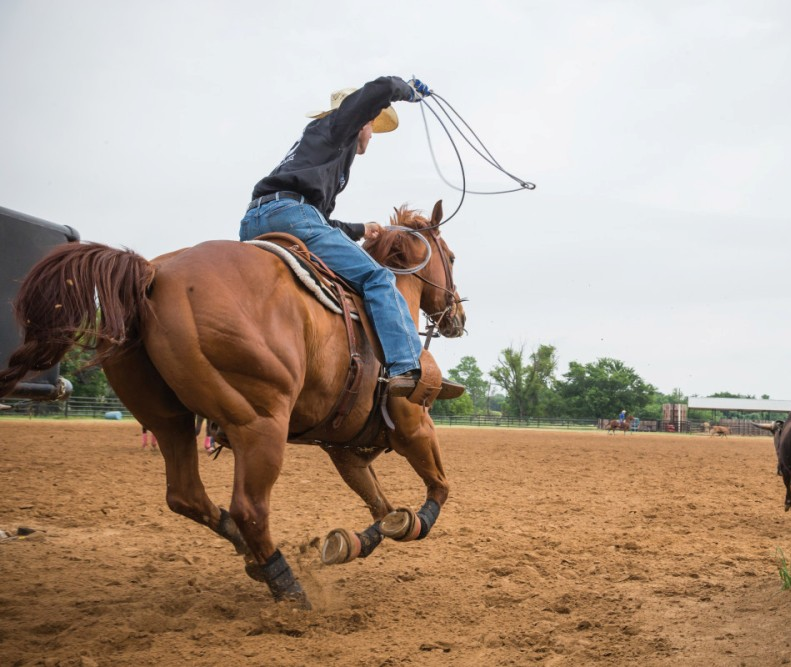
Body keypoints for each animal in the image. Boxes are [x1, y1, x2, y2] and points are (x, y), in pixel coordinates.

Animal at [0, 200, 468, 612]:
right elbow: (438, 489)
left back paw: (251, 556)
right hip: (260, 423)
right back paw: (289, 591)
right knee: (250, 508)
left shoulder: (344, 450)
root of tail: (154, 273)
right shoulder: (414, 427)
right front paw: (411, 523)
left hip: (168, 420)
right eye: (451, 256)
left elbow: (381, 506)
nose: (458, 317)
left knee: (187, 496)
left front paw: (354, 543)